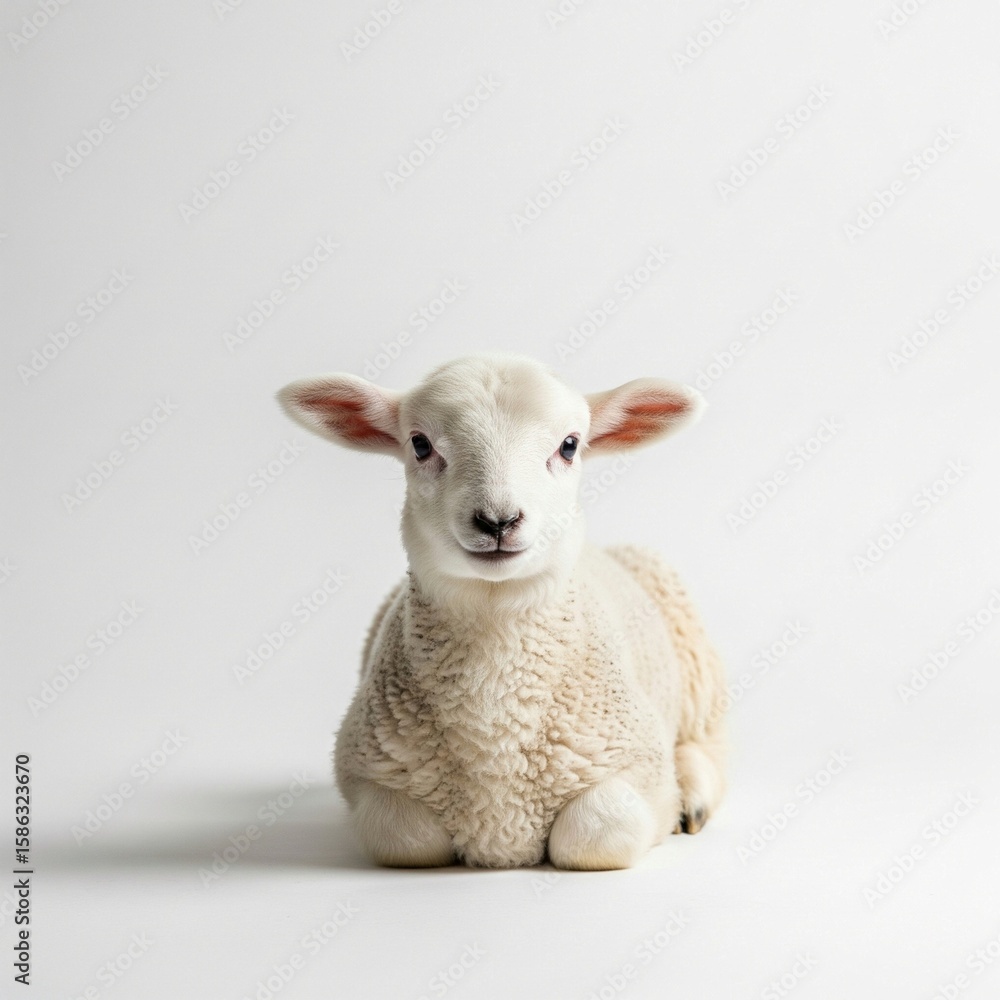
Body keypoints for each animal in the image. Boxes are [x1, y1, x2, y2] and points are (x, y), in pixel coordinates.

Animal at [278, 353, 726, 870]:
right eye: (420, 444)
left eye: (569, 445)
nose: (497, 521)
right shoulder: (368, 767)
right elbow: (403, 836)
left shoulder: (639, 761)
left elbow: (594, 832)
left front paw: (671, 807)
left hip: (693, 664)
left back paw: (693, 795)